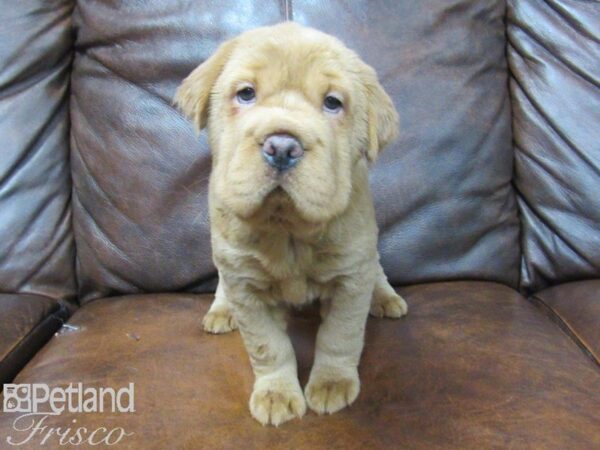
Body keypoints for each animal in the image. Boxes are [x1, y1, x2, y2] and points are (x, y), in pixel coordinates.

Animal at [173, 22, 408, 428]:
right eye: (246, 94)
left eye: (332, 102)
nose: (282, 147)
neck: (288, 232)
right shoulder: (244, 285)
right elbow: (268, 346)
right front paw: (277, 395)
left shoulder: (351, 277)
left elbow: (339, 336)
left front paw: (331, 384)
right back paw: (220, 310)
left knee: (377, 271)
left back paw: (385, 297)